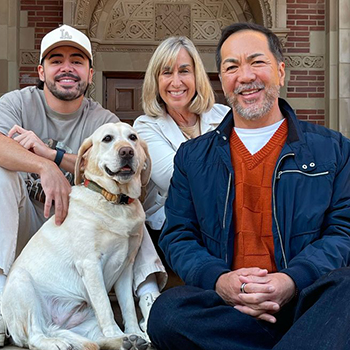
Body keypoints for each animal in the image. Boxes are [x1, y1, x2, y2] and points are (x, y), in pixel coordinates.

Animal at [1, 122, 152, 350]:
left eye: (132, 137)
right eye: (107, 138)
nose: (127, 151)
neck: (114, 201)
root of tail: (54, 325)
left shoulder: (126, 267)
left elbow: (128, 308)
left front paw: (134, 332)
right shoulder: (90, 264)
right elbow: (106, 306)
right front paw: (119, 332)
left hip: (85, 320)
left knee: (95, 341)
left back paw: (127, 340)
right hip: (23, 285)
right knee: (35, 336)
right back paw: (55, 342)